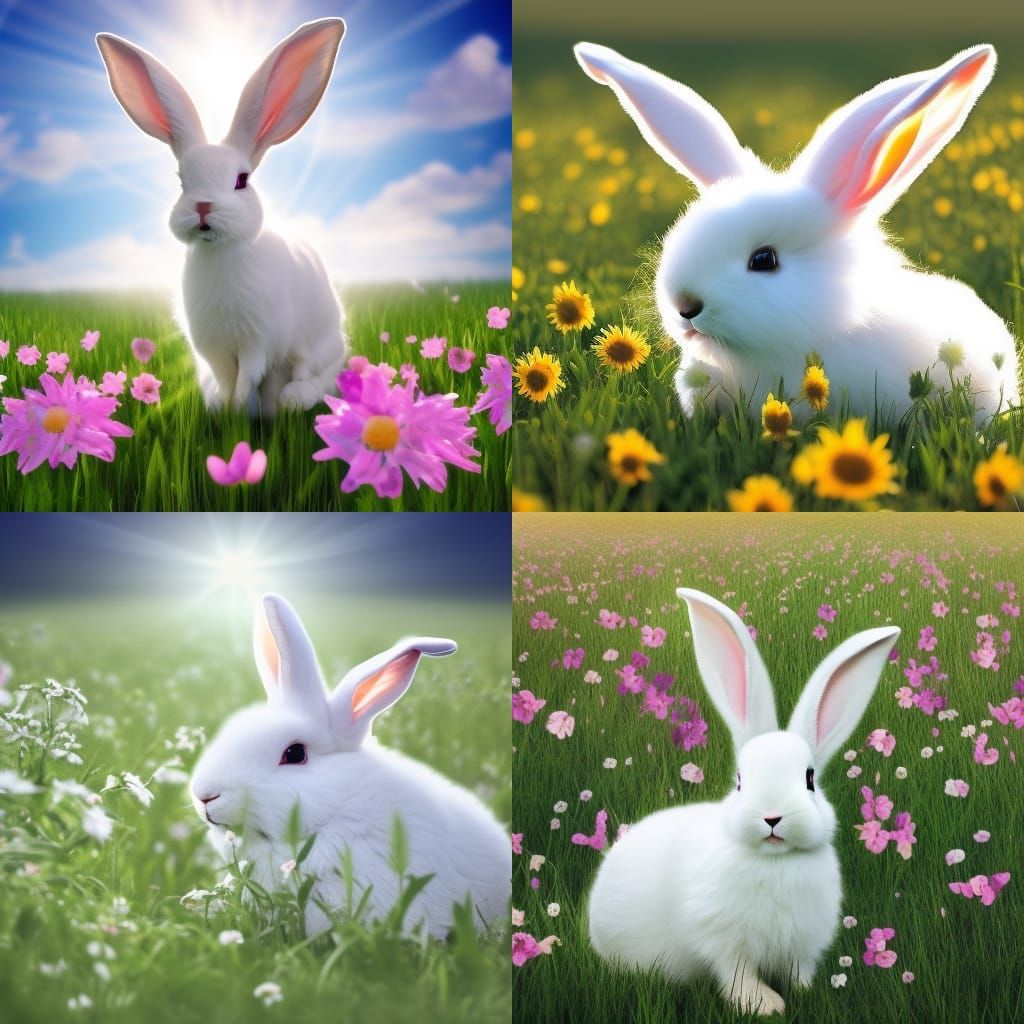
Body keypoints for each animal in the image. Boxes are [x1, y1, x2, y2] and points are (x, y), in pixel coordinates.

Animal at [96, 20, 349, 415]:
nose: (203, 207)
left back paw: (293, 399)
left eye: (241, 180)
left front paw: (241, 413)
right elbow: (228, 380)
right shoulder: (213, 348)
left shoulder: (257, 344)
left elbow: (247, 377)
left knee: (315, 375)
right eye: (182, 180)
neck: (221, 253)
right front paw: (226, 410)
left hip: (322, 346)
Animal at [587, 588, 900, 1016]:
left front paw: (806, 993)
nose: (772, 817)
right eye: (739, 781)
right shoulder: (724, 942)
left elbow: (799, 971)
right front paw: (766, 1005)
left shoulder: (800, 946)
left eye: (809, 779)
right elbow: (738, 976)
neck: (774, 862)